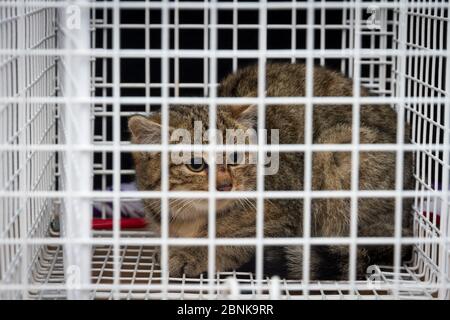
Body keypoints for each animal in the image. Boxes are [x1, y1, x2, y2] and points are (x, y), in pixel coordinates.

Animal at [128, 62, 414, 280]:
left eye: (234, 157)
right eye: (196, 164)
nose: (225, 185)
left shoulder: (281, 222)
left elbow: (231, 243)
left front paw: (193, 254)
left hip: (334, 150)